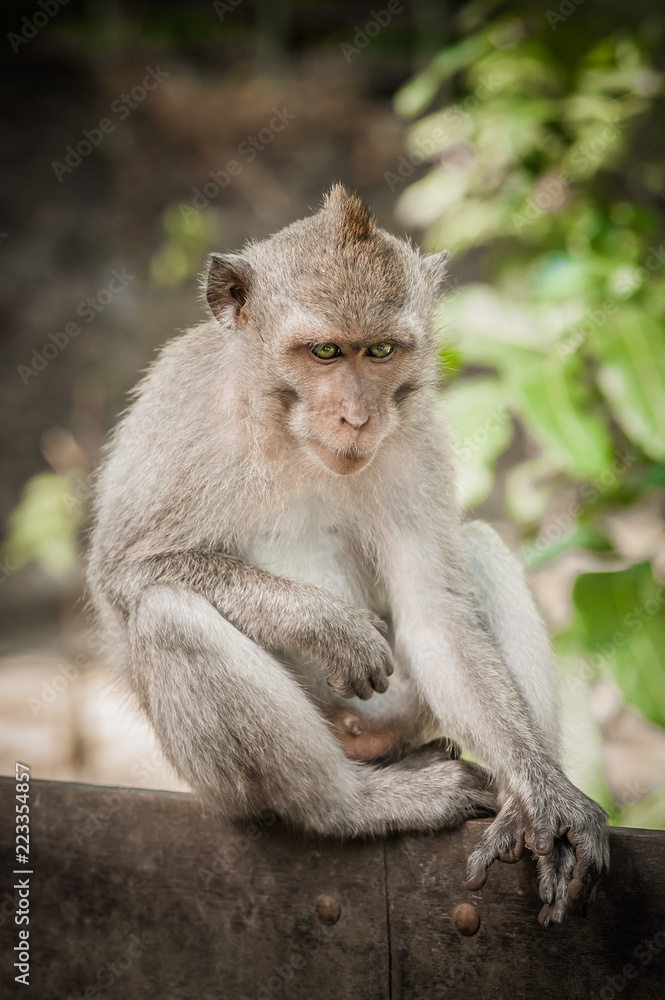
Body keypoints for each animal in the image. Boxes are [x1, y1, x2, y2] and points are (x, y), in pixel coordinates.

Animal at [87, 184, 608, 924]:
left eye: (381, 350)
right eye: (326, 352)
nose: (356, 418)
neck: (285, 429)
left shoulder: (415, 438)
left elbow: (434, 615)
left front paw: (546, 796)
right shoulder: (179, 414)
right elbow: (124, 572)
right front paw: (322, 623)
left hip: (408, 710)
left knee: (477, 548)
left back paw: (513, 806)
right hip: (234, 785)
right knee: (167, 613)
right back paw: (351, 805)